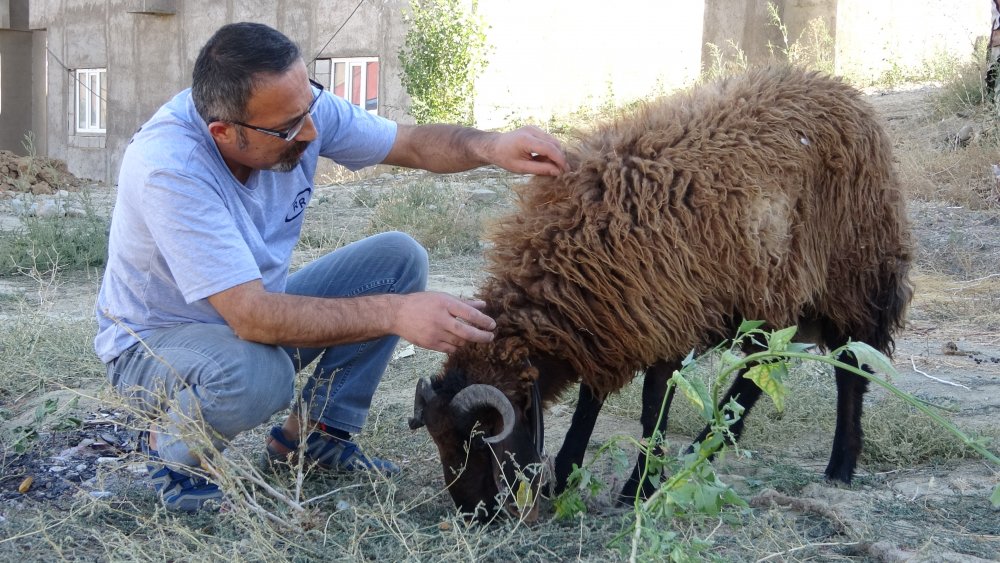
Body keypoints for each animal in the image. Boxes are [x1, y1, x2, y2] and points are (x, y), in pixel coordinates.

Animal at [408, 66, 913, 522]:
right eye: (437, 438)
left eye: (478, 436)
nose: (473, 514)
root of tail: (844, 91)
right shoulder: (609, 325)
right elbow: (589, 401)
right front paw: (566, 473)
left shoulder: (665, 317)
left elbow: (653, 407)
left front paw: (638, 488)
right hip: (770, 294)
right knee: (764, 364)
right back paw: (705, 449)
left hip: (853, 274)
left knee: (848, 368)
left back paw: (836, 466)